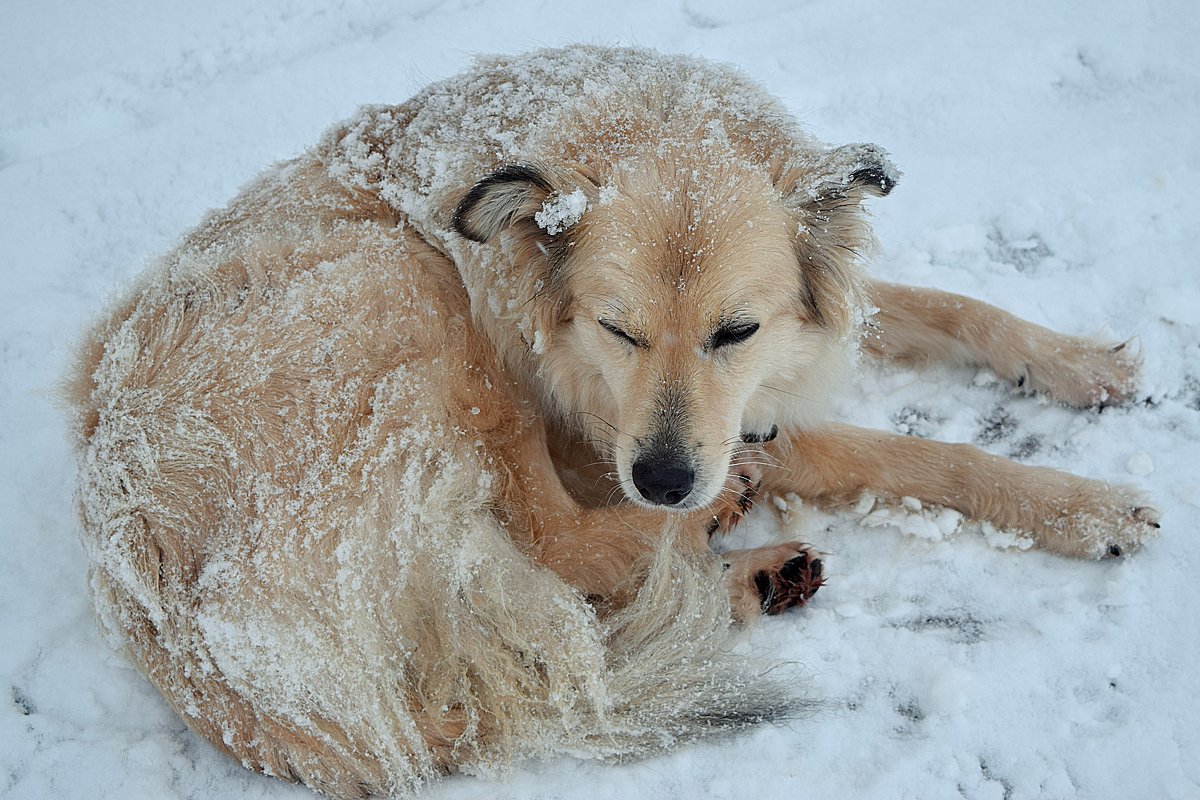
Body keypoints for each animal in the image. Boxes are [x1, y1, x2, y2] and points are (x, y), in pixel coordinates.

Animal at [70, 45, 1156, 800]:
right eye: (618, 328)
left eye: (734, 328)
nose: (666, 481)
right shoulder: (675, 422)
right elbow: (918, 454)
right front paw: (1085, 505)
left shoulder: (789, 342)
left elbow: (952, 307)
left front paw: (1080, 363)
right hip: (416, 300)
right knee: (558, 550)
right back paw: (717, 533)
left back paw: (758, 573)